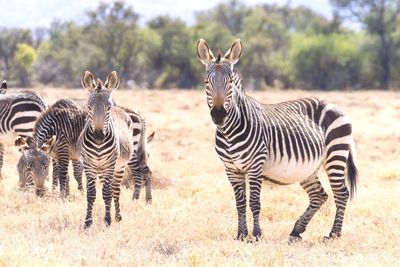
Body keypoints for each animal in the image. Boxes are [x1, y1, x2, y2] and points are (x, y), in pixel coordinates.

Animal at [78, 70, 134, 229]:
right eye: (89, 108)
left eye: (107, 108)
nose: (98, 136)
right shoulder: (88, 165)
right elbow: (91, 194)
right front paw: (88, 222)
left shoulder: (110, 165)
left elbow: (108, 194)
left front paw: (108, 220)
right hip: (102, 169)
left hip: (119, 167)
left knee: (115, 190)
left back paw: (118, 217)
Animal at [197, 39, 360, 243]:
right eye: (206, 82)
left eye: (231, 82)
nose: (219, 115)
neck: (229, 133)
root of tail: (332, 104)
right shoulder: (231, 169)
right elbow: (240, 203)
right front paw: (241, 235)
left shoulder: (255, 165)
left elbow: (254, 202)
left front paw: (256, 235)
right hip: (308, 168)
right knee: (319, 195)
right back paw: (297, 230)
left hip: (335, 154)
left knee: (341, 193)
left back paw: (334, 234)